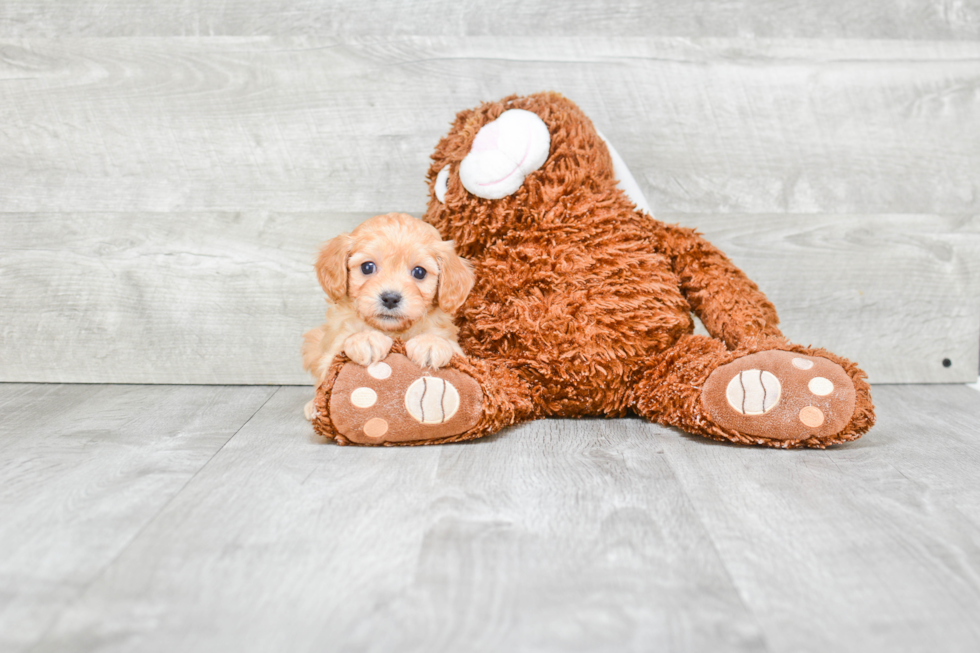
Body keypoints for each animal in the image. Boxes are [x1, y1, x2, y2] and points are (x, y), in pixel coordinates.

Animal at [302, 211, 478, 420]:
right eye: (367, 267)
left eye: (419, 272)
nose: (391, 298)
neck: (394, 330)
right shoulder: (331, 348)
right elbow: (332, 364)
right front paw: (366, 339)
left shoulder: (458, 351)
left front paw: (430, 343)